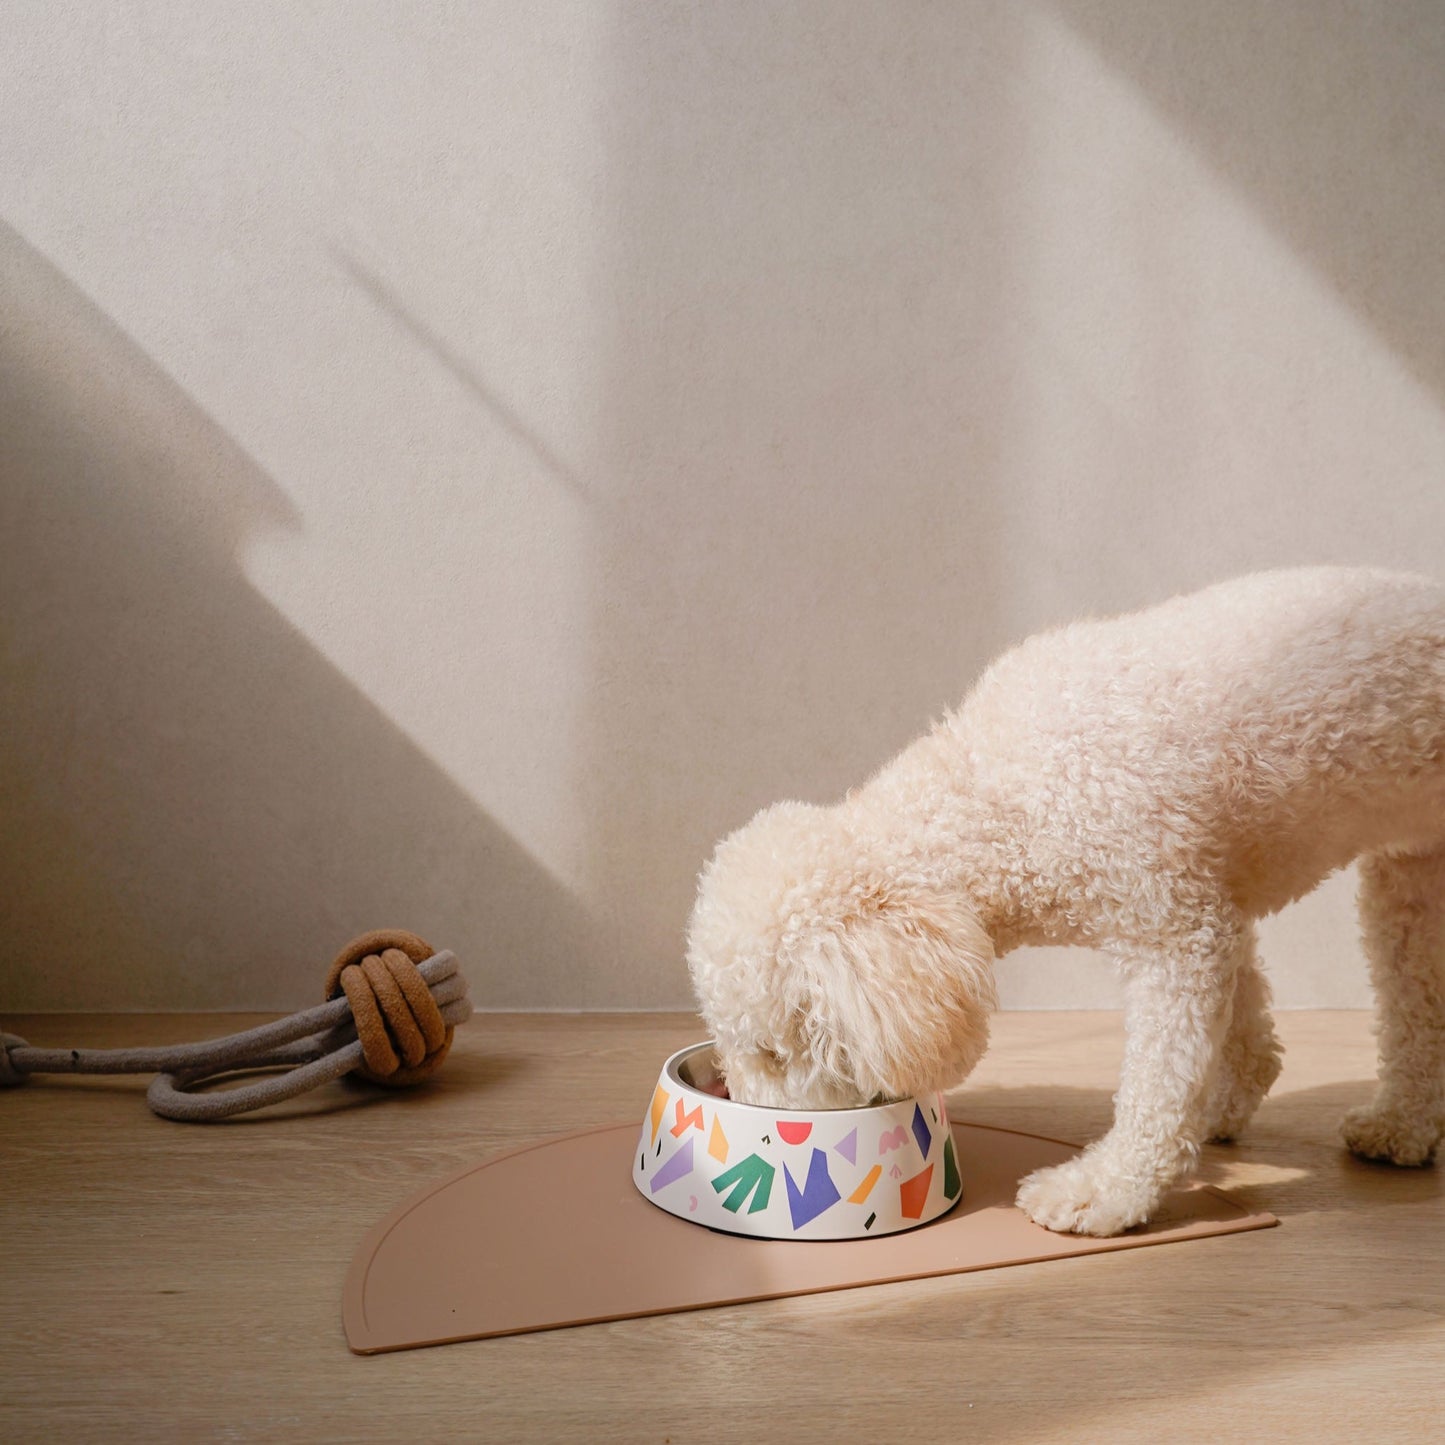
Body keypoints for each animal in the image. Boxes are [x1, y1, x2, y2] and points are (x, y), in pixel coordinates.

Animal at [684, 563, 1445, 1231]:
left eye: (772, 1054)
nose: (748, 1111)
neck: (996, 797)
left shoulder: (1174, 929)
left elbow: (1159, 1083)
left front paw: (1105, 1191)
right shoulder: (1213, 901)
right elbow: (1246, 1037)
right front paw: (1219, 1108)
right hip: (1411, 885)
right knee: (1416, 1011)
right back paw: (1400, 1127)